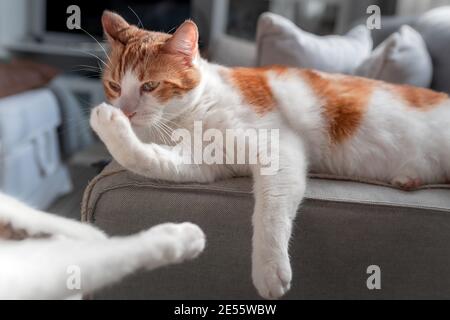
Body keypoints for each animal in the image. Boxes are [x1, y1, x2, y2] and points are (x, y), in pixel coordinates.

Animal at [91, 10, 450, 300]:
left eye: (150, 86)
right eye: (114, 86)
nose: (126, 112)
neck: (194, 111)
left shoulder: (280, 148)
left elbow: (270, 210)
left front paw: (269, 268)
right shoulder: (202, 162)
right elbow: (145, 157)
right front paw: (111, 127)